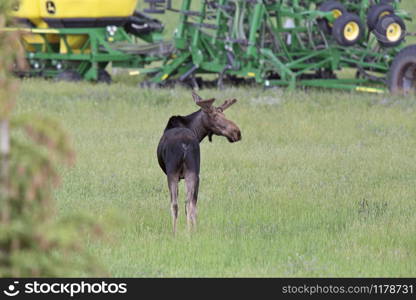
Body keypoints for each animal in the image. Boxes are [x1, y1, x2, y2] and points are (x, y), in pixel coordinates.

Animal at [156, 92, 240, 233]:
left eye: (224, 115)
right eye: (215, 116)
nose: (237, 132)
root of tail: (184, 144)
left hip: (176, 172)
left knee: (181, 203)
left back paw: (182, 232)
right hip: (192, 172)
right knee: (186, 203)